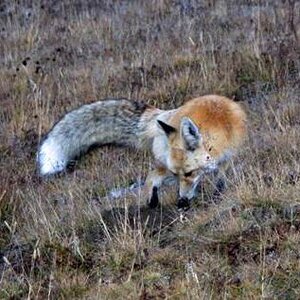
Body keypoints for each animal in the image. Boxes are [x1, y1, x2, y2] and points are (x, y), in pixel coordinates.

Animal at [38, 96, 246, 209]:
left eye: (189, 173)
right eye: (179, 174)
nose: (181, 202)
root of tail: (165, 115)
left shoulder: (230, 157)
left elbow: (221, 179)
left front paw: (218, 194)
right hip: (163, 164)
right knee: (151, 178)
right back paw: (151, 200)